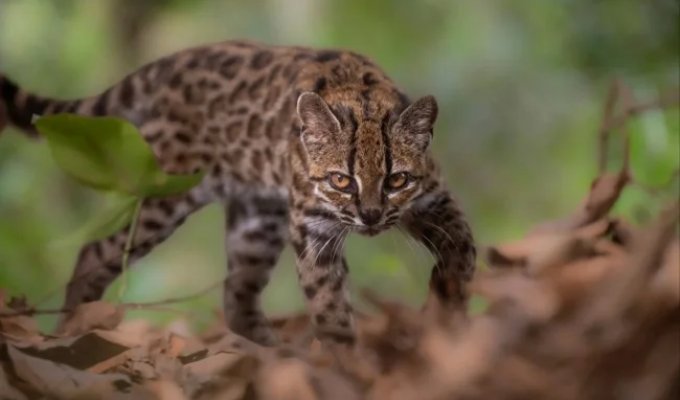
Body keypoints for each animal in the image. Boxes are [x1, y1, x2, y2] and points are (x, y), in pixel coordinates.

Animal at [0, 40, 476, 347]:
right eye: (341, 180)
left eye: (397, 180)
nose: (371, 217)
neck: (364, 98)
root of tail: (176, 60)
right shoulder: (314, 231)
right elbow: (330, 305)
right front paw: (347, 361)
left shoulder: (433, 198)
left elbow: (463, 251)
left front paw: (447, 310)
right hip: (164, 193)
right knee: (95, 252)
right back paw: (71, 328)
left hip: (256, 222)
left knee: (237, 295)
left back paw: (273, 353)